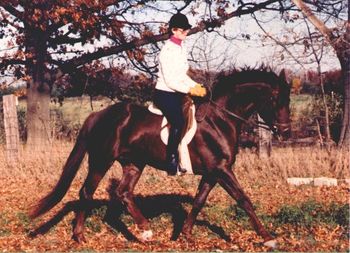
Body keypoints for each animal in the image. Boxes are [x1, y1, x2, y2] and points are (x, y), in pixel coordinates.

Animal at [30, 66, 292, 248]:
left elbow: (198, 201)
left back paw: (146, 231)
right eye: (275, 99)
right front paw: (268, 237)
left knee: (123, 193)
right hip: (101, 161)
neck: (220, 119)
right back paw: (80, 237)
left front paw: (185, 235)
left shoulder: (212, 172)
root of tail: (98, 115)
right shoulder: (222, 170)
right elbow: (243, 199)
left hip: (134, 164)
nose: (286, 132)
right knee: (86, 192)